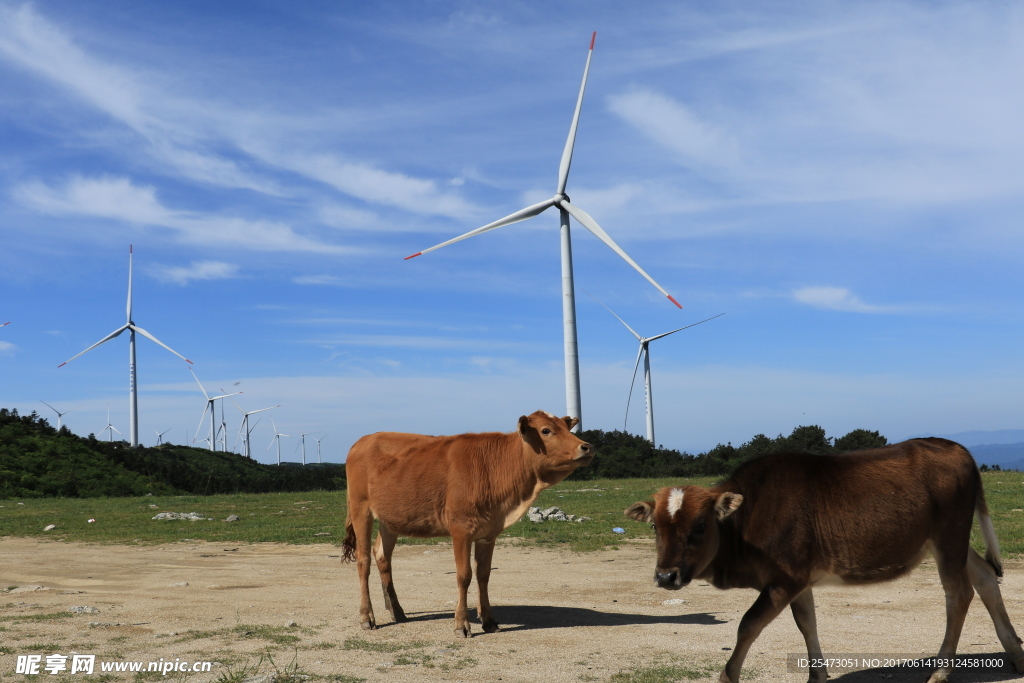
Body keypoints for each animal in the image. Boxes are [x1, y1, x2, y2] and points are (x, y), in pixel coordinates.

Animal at [344, 409, 593, 638]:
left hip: (390, 519)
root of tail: (364, 440)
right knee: (363, 560)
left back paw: (397, 610)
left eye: (566, 427)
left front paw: (489, 621)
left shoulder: (488, 533)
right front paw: (461, 624)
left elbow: (483, 575)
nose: (587, 446)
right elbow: (464, 576)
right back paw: (367, 617)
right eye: (546, 431)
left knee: (382, 556)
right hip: (361, 509)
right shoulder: (461, 529)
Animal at [622, 438, 1024, 683]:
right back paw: (1016, 652)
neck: (746, 520)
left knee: (959, 595)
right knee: (985, 578)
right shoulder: (799, 579)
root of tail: (955, 448)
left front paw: (728, 675)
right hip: (949, 542)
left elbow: (748, 625)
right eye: (656, 526)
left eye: (700, 525)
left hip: (949, 537)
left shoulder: (784, 579)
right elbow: (807, 623)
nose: (666, 576)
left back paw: (941, 670)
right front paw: (818, 673)